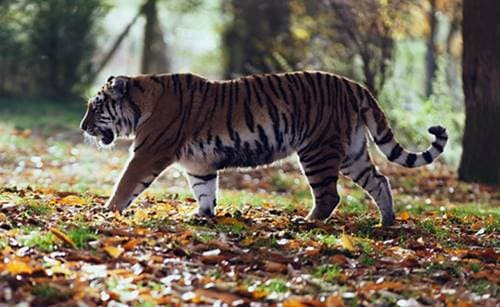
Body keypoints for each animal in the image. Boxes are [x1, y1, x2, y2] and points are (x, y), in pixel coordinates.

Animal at [80, 71, 448, 226]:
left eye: (95, 107)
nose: (83, 127)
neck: (142, 101)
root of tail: (354, 85)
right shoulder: (199, 165)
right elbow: (205, 190)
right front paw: (202, 216)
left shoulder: (148, 153)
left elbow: (126, 183)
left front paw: (107, 210)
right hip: (352, 153)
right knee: (380, 181)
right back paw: (387, 222)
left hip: (317, 151)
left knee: (329, 195)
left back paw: (307, 222)